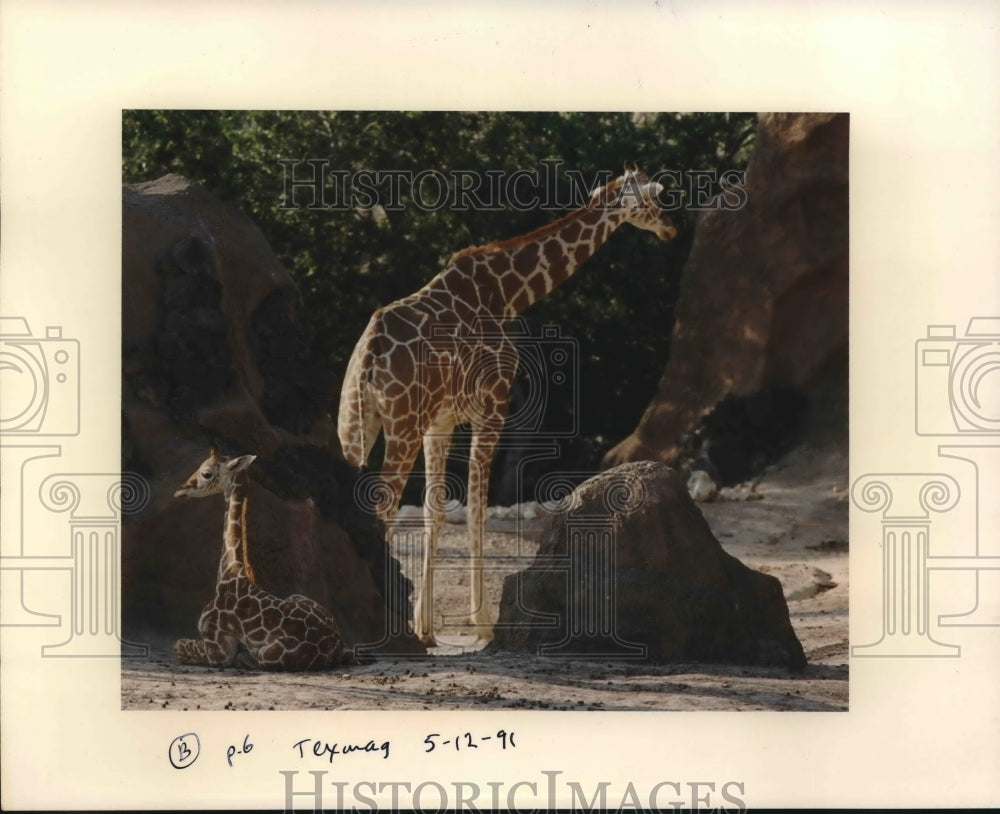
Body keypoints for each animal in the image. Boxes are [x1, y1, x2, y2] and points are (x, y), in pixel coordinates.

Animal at [172, 447, 349, 670]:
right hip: (297, 597)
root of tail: (336, 645)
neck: (229, 572)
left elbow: (178, 646)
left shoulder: (218, 650)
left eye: (206, 473)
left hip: (269, 655)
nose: (181, 490)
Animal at [338, 167, 678, 646]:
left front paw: (427, 627)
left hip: (356, 422)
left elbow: (435, 512)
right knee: (381, 508)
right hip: (399, 426)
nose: (672, 228)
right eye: (656, 198)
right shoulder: (492, 405)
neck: (509, 291)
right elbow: (476, 510)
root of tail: (368, 356)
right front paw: (481, 622)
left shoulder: (440, 421)